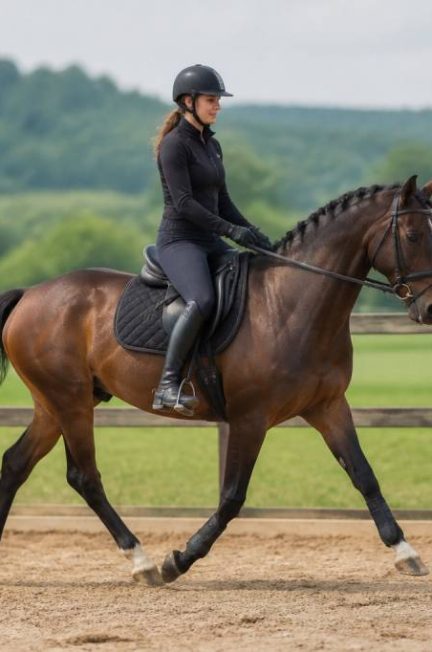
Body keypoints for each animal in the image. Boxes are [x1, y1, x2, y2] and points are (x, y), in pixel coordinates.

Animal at [0, 175, 432, 586]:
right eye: (414, 235)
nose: (428, 309)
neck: (290, 304)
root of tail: (30, 294)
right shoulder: (249, 419)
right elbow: (232, 497)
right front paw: (178, 560)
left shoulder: (328, 406)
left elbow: (364, 475)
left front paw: (405, 552)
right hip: (69, 401)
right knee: (84, 477)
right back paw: (143, 562)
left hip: (55, 405)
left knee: (15, 464)